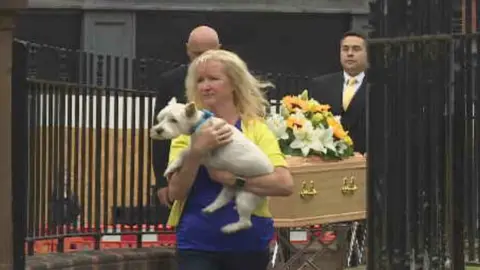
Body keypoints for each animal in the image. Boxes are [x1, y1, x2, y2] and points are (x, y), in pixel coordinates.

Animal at [152, 98, 276, 233]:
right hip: (231, 187)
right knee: (224, 198)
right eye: (160, 119)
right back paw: (211, 208)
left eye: (173, 120)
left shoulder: (204, 152)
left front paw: (172, 166)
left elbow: (185, 152)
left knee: (246, 223)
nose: (158, 130)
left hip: (246, 197)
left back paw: (229, 228)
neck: (200, 122)